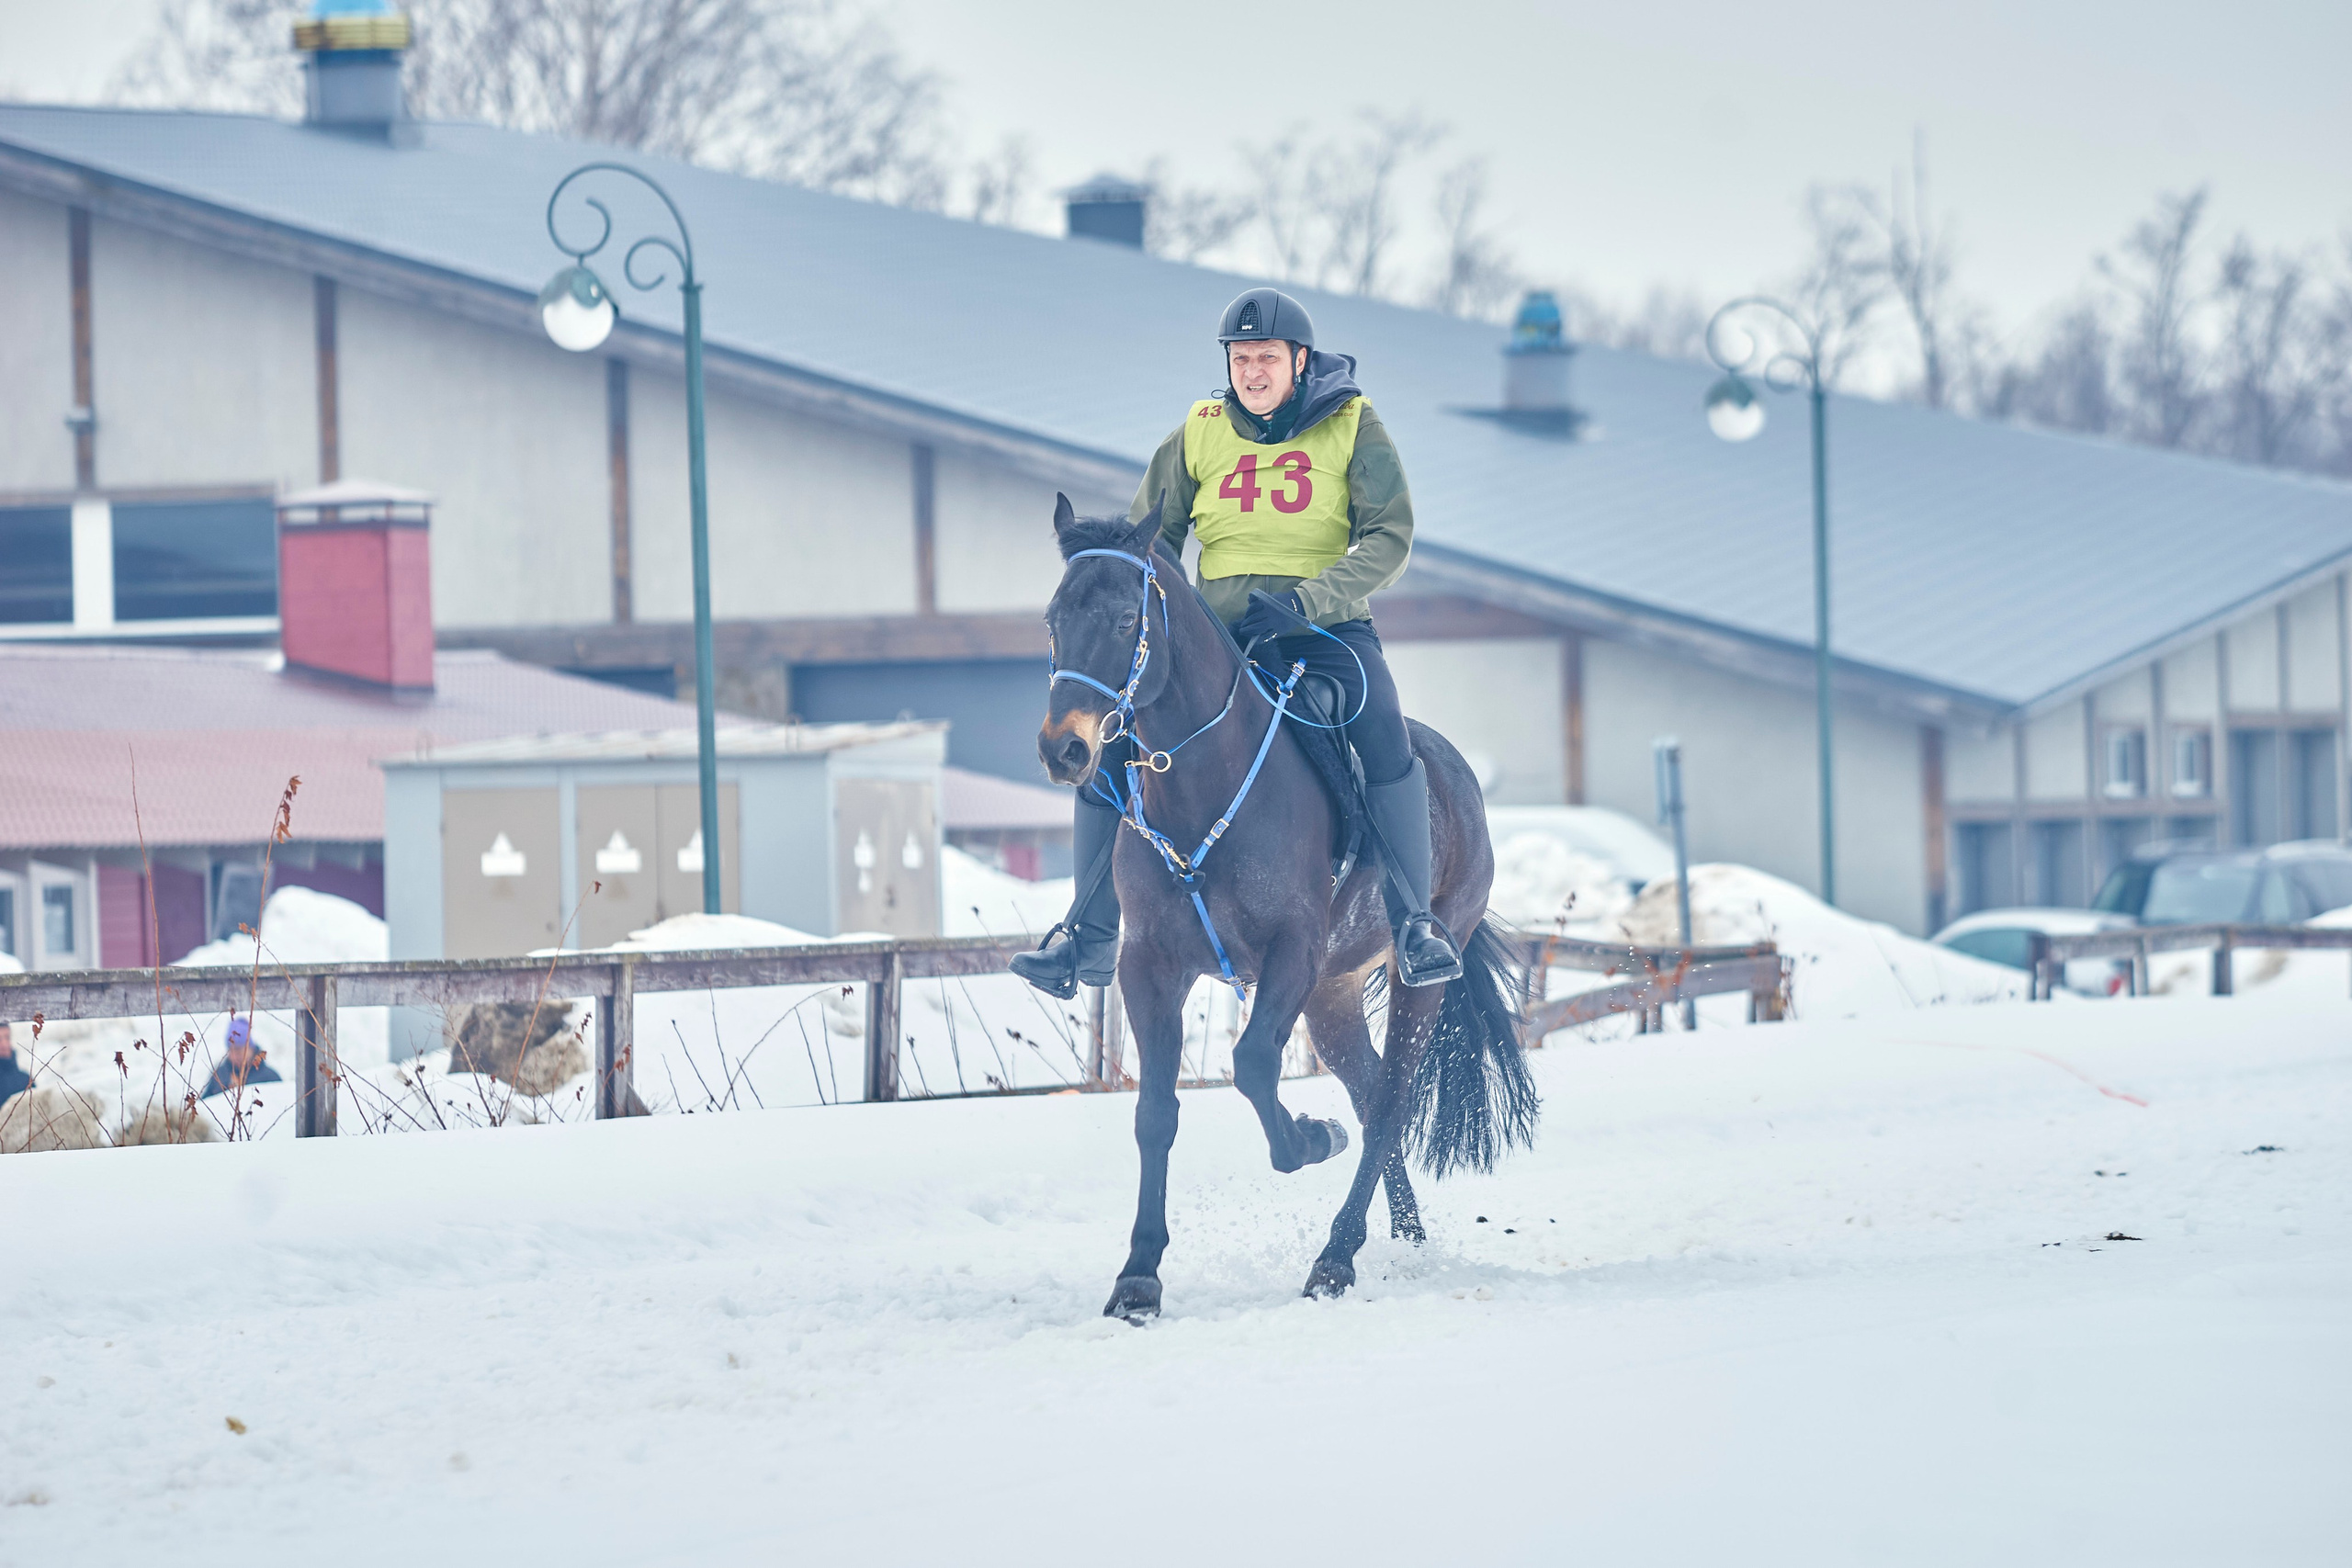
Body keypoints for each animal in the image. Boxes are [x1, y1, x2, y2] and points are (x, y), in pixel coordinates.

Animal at [1037, 495, 1539, 1318]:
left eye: (1123, 618)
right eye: (1053, 618)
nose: (1065, 750)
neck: (1203, 781)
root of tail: (1454, 771)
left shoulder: (1291, 955)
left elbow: (1251, 1067)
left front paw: (1310, 1138)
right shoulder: (1151, 965)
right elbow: (1156, 1113)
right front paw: (1138, 1275)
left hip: (1412, 978)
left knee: (1390, 1101)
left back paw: (1335, 1257)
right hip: (1333, 995)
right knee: (1371, 1096)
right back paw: (1399, 1240)